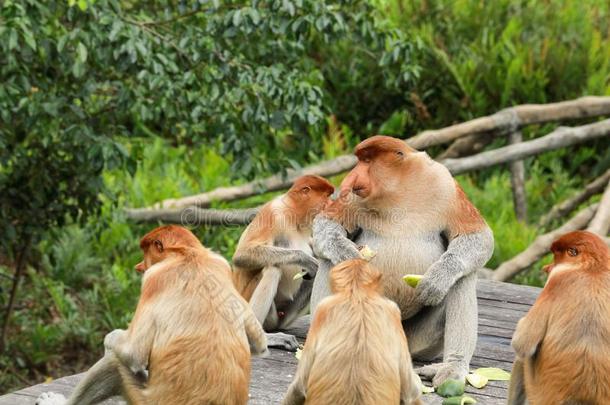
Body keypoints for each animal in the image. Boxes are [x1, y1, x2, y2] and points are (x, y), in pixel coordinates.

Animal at [36, 224, 264, 404]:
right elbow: (259, 340)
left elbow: (133, 353)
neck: (186, 254)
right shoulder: (221, 264)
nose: (139, 267)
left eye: (146, 253)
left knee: (114, 363)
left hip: (144, 399)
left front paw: (111, 337)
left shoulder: (153, 279)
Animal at [232, 175, 332, 348]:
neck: (292, 212)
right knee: (272, 269)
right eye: (326, 197)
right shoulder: (273, 213)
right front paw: (307, 260)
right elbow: (242, 255)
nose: (331, 204)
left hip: (283, 314)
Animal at [312, 135, 492, 386]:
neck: (400, 191)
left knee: (463, 277)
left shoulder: (446, 187)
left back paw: (451, 368)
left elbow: (478, 236)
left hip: (417, 341)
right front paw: (347, 253)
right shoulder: (352, 199)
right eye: (361, 160)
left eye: (367, 161)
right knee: (328, 260)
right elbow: (327, 224)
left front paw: (437, 279)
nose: (351, 177)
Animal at [504, 230, 608, 404]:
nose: (548, 267)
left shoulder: (555, 282)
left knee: (521, 358)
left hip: (534, 392)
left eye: (556, 255)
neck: (592, 269)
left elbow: (522, 343)